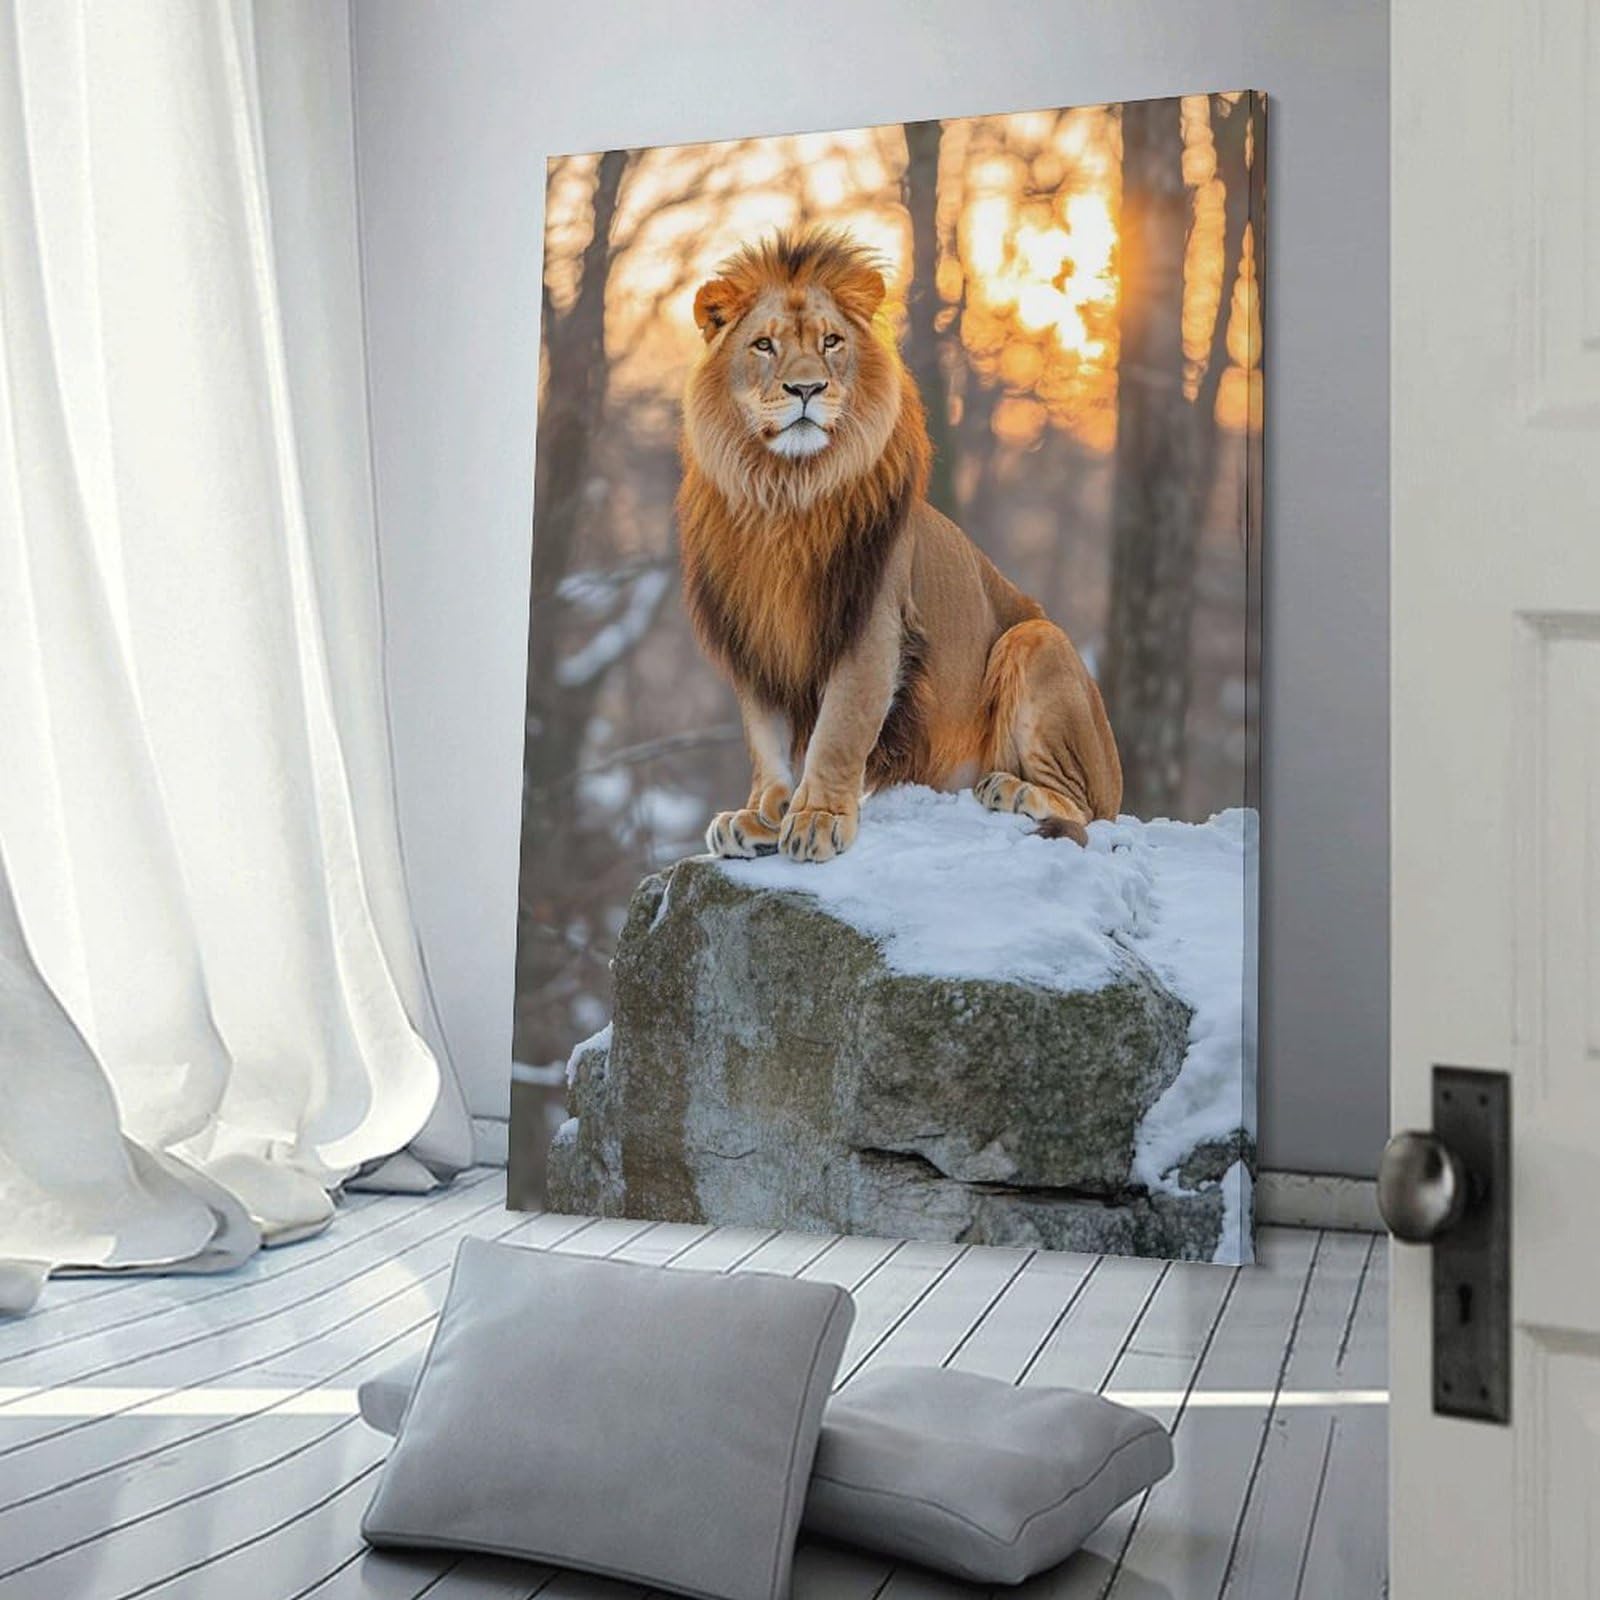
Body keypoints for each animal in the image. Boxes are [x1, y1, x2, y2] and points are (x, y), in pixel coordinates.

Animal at [677, 227, 1121, 863]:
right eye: (764, 345)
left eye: (831, 342)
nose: (807, 387)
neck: (786, 492)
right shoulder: (755, 632)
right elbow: (766, 739)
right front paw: (761, 813)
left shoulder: (872, 625)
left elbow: (838, 731)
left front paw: (816, 818)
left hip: (1038, 641)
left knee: (1084, 808)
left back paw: (1010, 789)